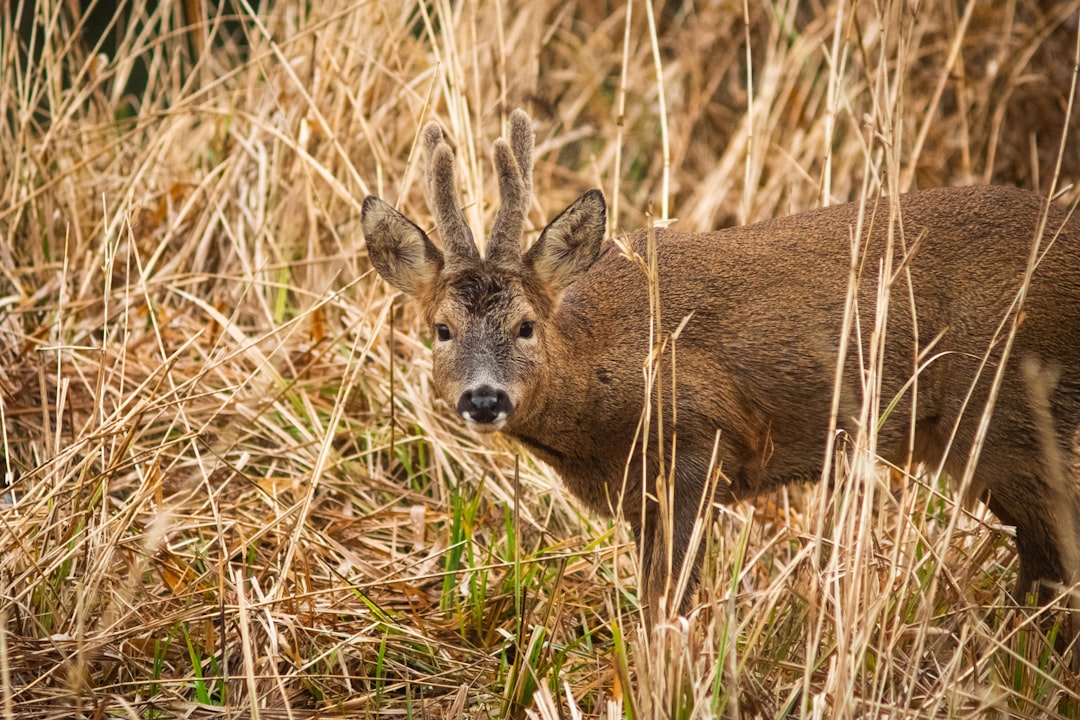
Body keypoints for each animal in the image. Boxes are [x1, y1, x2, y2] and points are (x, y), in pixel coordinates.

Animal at [360, 110, 1080, 621]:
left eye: (525, 326)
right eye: (442, 329)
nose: (484, 399)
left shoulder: (697, 446)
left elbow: (670, 606)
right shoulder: (641, 494)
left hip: (1013, 412)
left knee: (1053, 560)